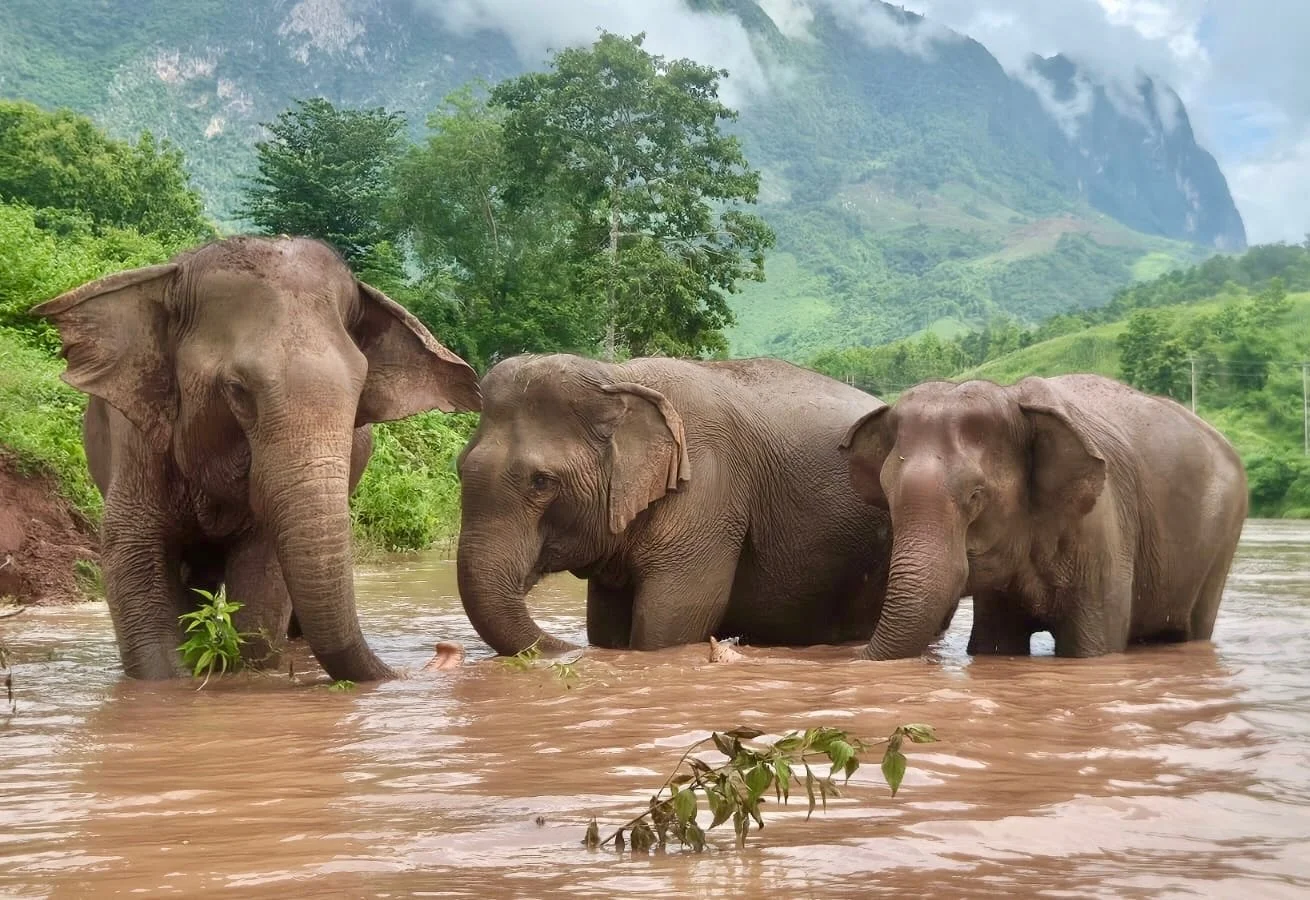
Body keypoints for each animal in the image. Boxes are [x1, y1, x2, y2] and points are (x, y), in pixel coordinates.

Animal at [31, 235, 481, 682]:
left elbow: (262, 574)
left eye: (359, 396)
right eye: (238, 390)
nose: (444, 646)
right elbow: (133, 553)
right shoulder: (138, 439)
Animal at [454, 353, 897, 657]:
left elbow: (669, 621)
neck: (617, 379)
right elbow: (606, 621)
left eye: (542, 482)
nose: (575, 653)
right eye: (459, 467)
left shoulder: (709, 486)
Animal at [841, 373, 1248, 660]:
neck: (1014, 397)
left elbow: (1091, 648)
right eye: (887, 493)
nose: (854, 652)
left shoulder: (1101, 532)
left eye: (976, 495)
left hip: (1223, 539)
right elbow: (996, 644)